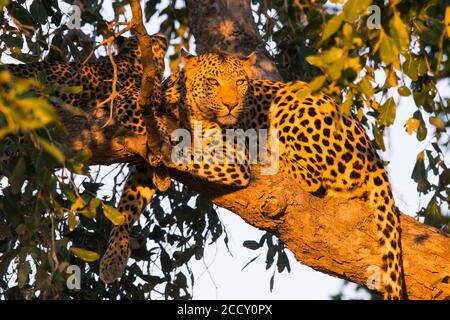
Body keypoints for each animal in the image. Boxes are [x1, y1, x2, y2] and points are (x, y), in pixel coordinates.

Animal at [149, 50, 406, 300]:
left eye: (240, 82)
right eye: (213, 81)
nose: (232, 105)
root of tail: (374, 157)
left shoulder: (234, 157)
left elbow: (191, 154)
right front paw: (160, 174)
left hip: (292, 98)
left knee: (310, 176)